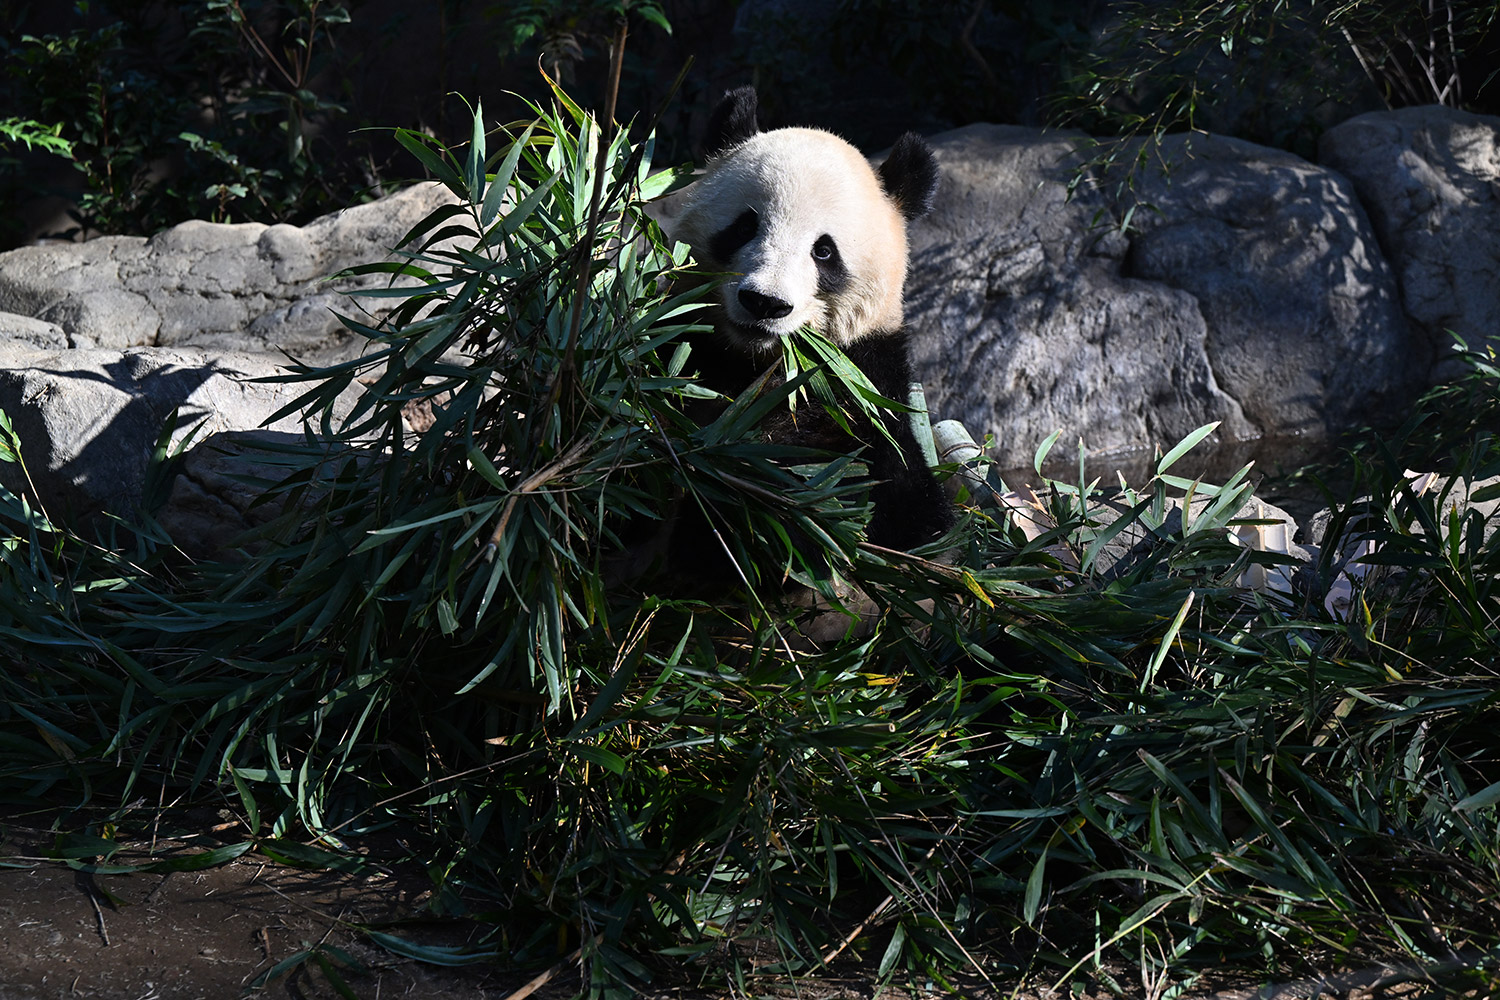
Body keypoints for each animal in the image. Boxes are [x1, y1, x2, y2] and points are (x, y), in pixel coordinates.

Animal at [669, 86, 948, 551]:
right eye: (745, 226)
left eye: (824, 251)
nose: (765, 303)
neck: (758, 363)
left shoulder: (866, 382)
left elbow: (901, 509)